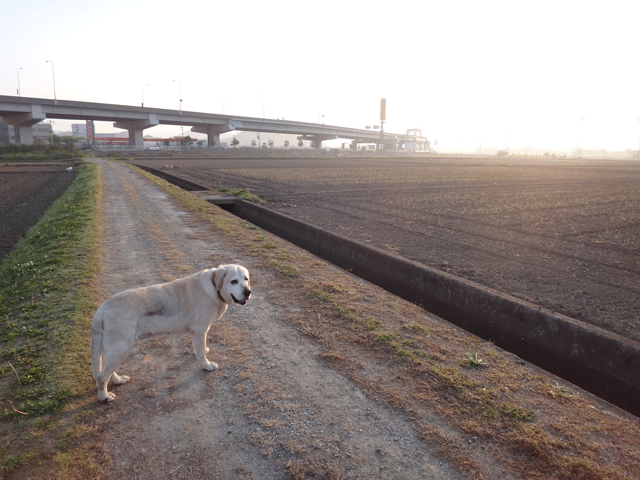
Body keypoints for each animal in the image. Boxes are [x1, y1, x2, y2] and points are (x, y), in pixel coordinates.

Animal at [90, 264, 250, 404]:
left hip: (114, 350)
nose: (248, 292)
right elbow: (201, 354)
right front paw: (207, 365)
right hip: (121, 348)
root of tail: (102, 310)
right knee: (101, 377)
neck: (213, 288)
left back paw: (118, 380)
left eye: (246, 279)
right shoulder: (199, 331)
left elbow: (200, 349)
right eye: (234, 281)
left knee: (106, 371)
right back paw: (104, 397)